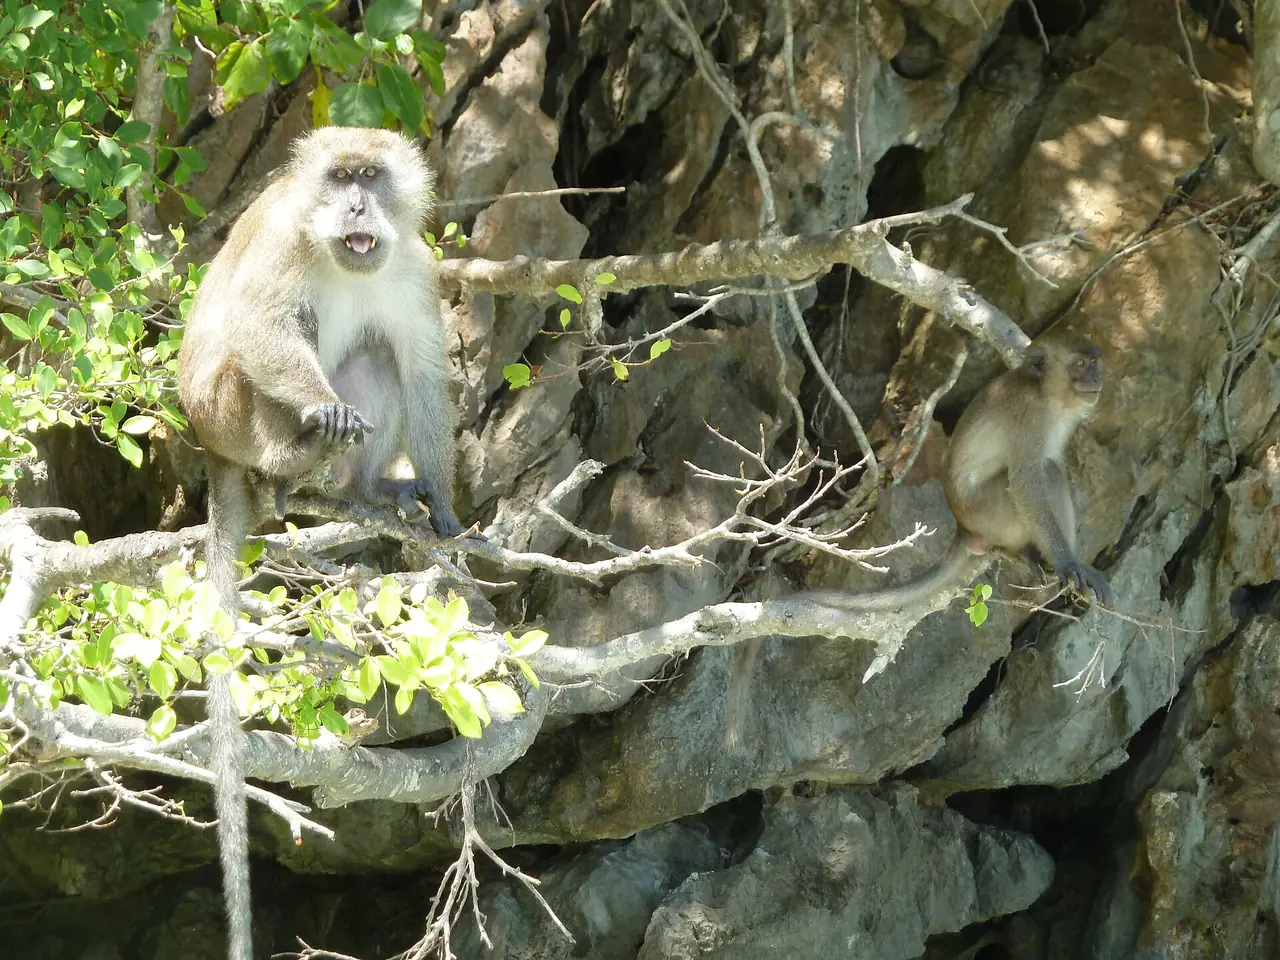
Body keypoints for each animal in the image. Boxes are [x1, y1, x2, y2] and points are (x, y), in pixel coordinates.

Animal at [176, 126, 465, 960]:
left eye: (370, 174)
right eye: (340, 179)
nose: (359, 205)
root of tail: (211, 447)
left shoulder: (413, 265)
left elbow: (423, 371)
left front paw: (446, 508)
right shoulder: (281, 240)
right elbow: (259, 326)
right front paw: (322, 412)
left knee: (379, 353)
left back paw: (361, 491)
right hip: (228, 413)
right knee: (273, 348)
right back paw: (296, 457)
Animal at [722, 334, 1113, 752]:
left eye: (1094, 362)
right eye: (1079, 364)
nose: (1096, 378)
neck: (1048, 397)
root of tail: (964, 527)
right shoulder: (1028, 418)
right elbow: (1027, 482)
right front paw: (1070, 564)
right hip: (992, 512)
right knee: (1048, 474)